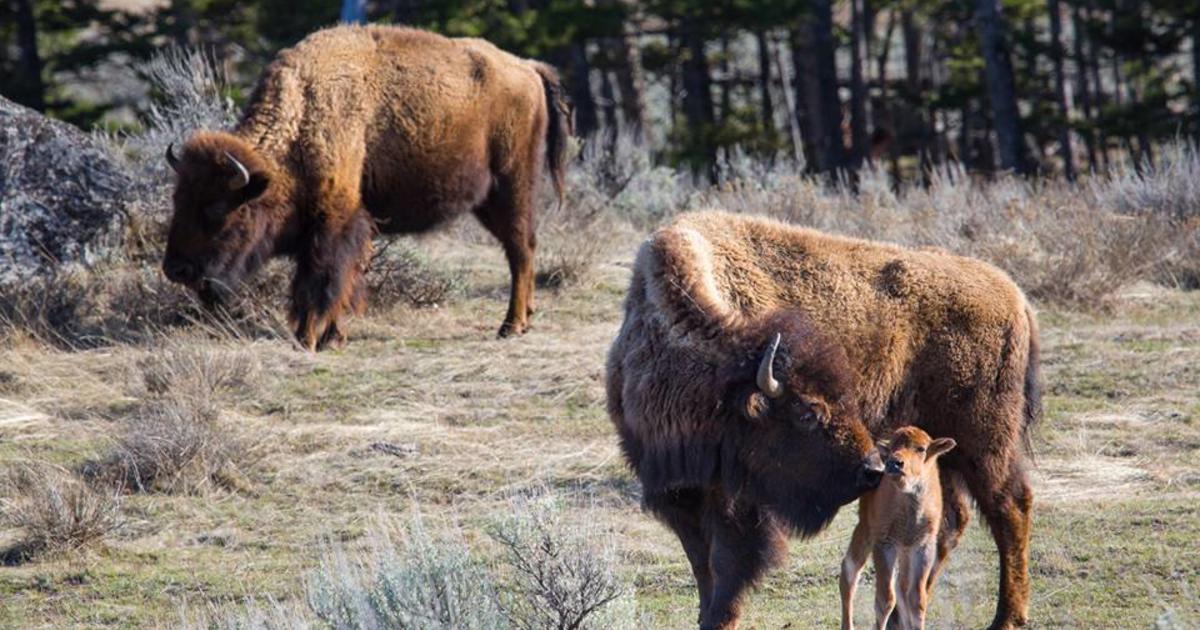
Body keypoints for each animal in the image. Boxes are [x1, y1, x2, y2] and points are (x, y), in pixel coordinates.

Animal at [162, 25, 568, 348]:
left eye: (216, 208)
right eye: (178, 200)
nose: (175, 270)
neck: (303, 117)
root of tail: (527, 68)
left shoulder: (333, 221)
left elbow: (320, 279)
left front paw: (308, 338)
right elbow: (342, 279)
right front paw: (332, 337)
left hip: (512, 185)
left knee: (520, 249)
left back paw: (510, 326)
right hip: (490, 199)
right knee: (521, 248)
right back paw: (523, 319)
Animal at [844, 424, 955, 624]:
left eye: (921, 448)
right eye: (892, 447)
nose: (894, 463)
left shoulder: (922, 546)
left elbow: (917, 600)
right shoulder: (885, 544)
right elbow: (885, 600)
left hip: (904, 551)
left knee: (902, 588)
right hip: (865, 530)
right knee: (849, 572)